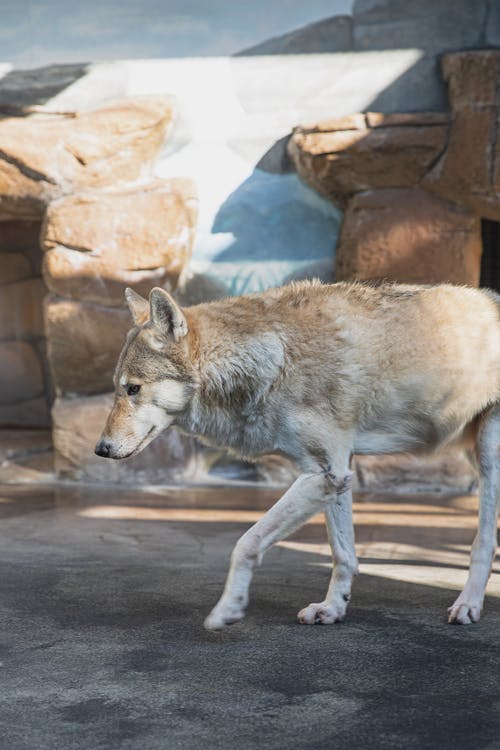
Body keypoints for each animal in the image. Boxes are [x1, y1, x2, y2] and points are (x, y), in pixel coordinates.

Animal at [94, 282, 500, 628]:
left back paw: (468, 605)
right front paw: (333, 609)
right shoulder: (337, 473)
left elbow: (246, 543)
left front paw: (228, 609)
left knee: (483, 541)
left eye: (133, 389)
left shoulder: (323, 473)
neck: (273, 361)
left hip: (489, 460)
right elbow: (343, 554)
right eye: (117, 389)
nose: (101, 449)